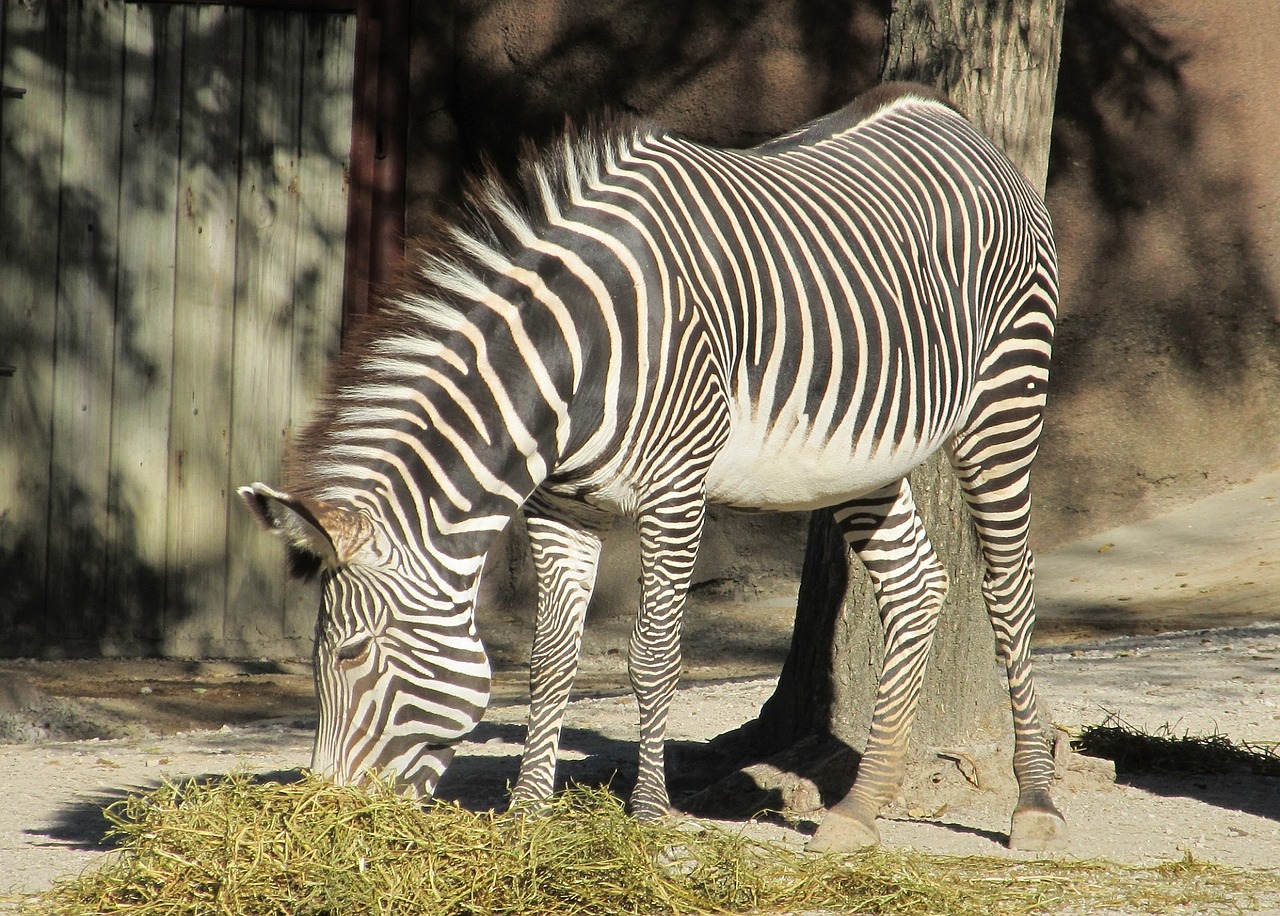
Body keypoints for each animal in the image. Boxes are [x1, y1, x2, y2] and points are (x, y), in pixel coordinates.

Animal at [240, 82, 1059, 854]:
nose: (327, 811)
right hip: (862, 454)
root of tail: (949, 118)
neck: (571, 367)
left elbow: (653, 657)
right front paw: (530, 815)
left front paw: (649, 816)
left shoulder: (676, 492)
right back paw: (858, 811)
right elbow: (551, 659)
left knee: (1009, 592)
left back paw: (1036, 806)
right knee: (916, 587)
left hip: (1005, 399)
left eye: (351, 654)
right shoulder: (560, 508)